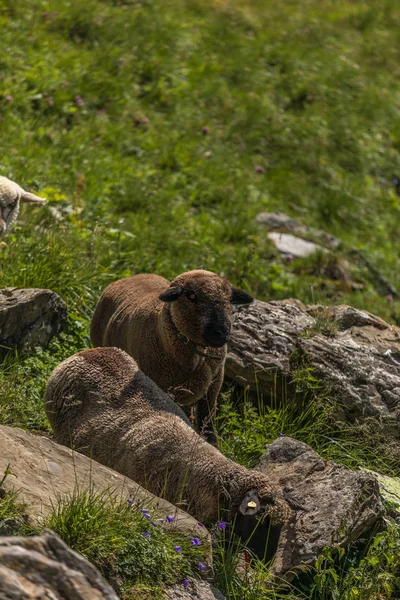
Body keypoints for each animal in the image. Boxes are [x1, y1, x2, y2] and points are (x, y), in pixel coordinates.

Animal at [90, 270, 253, 438]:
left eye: (229, 299)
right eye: (191, 296)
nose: (221, 333)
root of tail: (132, 276)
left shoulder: (213, 387)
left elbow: (207, 425)